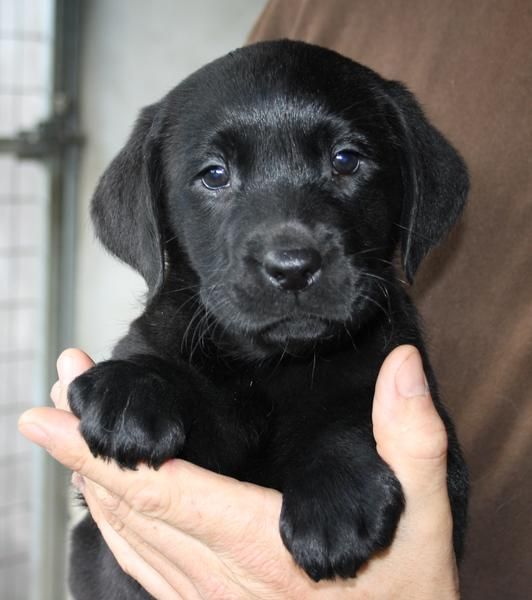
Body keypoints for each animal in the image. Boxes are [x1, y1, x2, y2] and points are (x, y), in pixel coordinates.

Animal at [68, 39, 468, 596]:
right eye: (214, 174)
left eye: (346, 160)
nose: (293, 267)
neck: (272, 365)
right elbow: (158, 359)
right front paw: (129, 388)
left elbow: (353, 413)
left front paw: (337, 494)